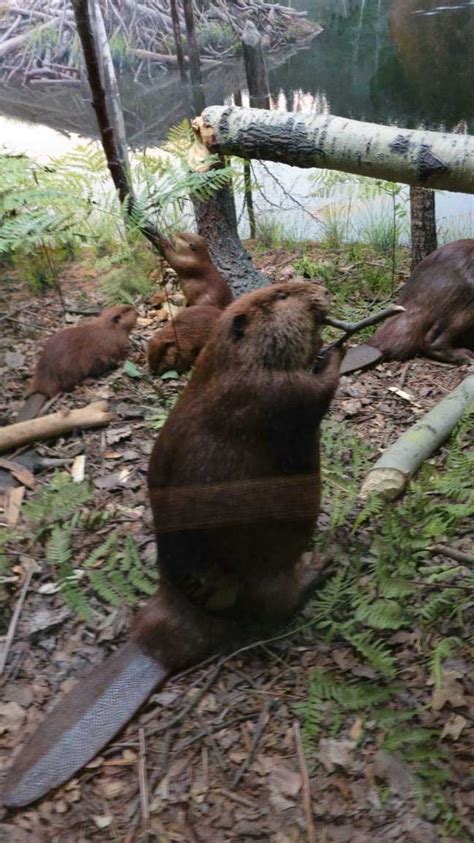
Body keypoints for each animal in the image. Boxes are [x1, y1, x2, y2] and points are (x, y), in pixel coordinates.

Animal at [3, 280, 342, 808]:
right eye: (280, 297)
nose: (317, 289)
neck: (229, 364)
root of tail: (152, 648)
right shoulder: (262, 393)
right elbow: (312, 393)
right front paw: (335, 350)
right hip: (266, 577)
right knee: (278, 604)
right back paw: (320, 563)